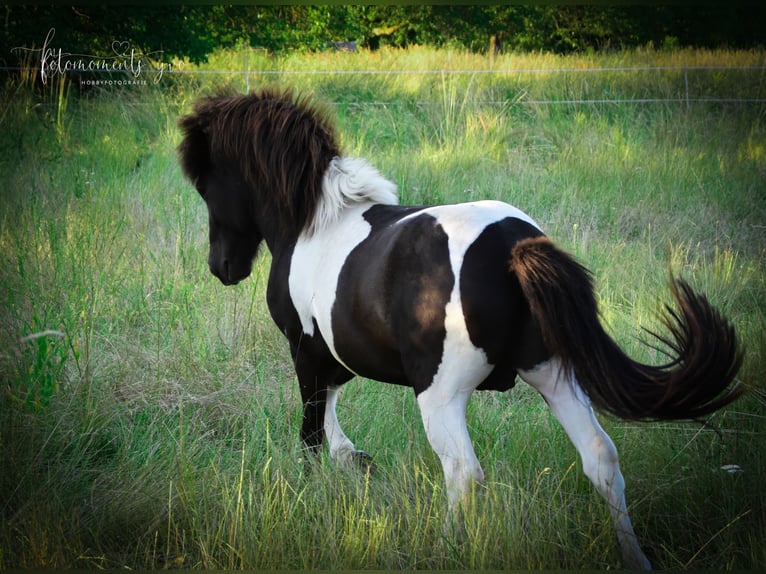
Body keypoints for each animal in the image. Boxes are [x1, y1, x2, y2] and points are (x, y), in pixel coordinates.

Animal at [178, 90, 744, 572]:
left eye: (206, 185)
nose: (222, 268)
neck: (315, 223)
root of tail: (514, 244)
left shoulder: (308, 353)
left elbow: (313, 437)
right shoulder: (336, 364)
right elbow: (331, 429)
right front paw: (359, 463)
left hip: (441, 394)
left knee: (463, 474)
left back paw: (443, 550)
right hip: (553, 373)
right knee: (600, 458)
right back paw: (635, 558)